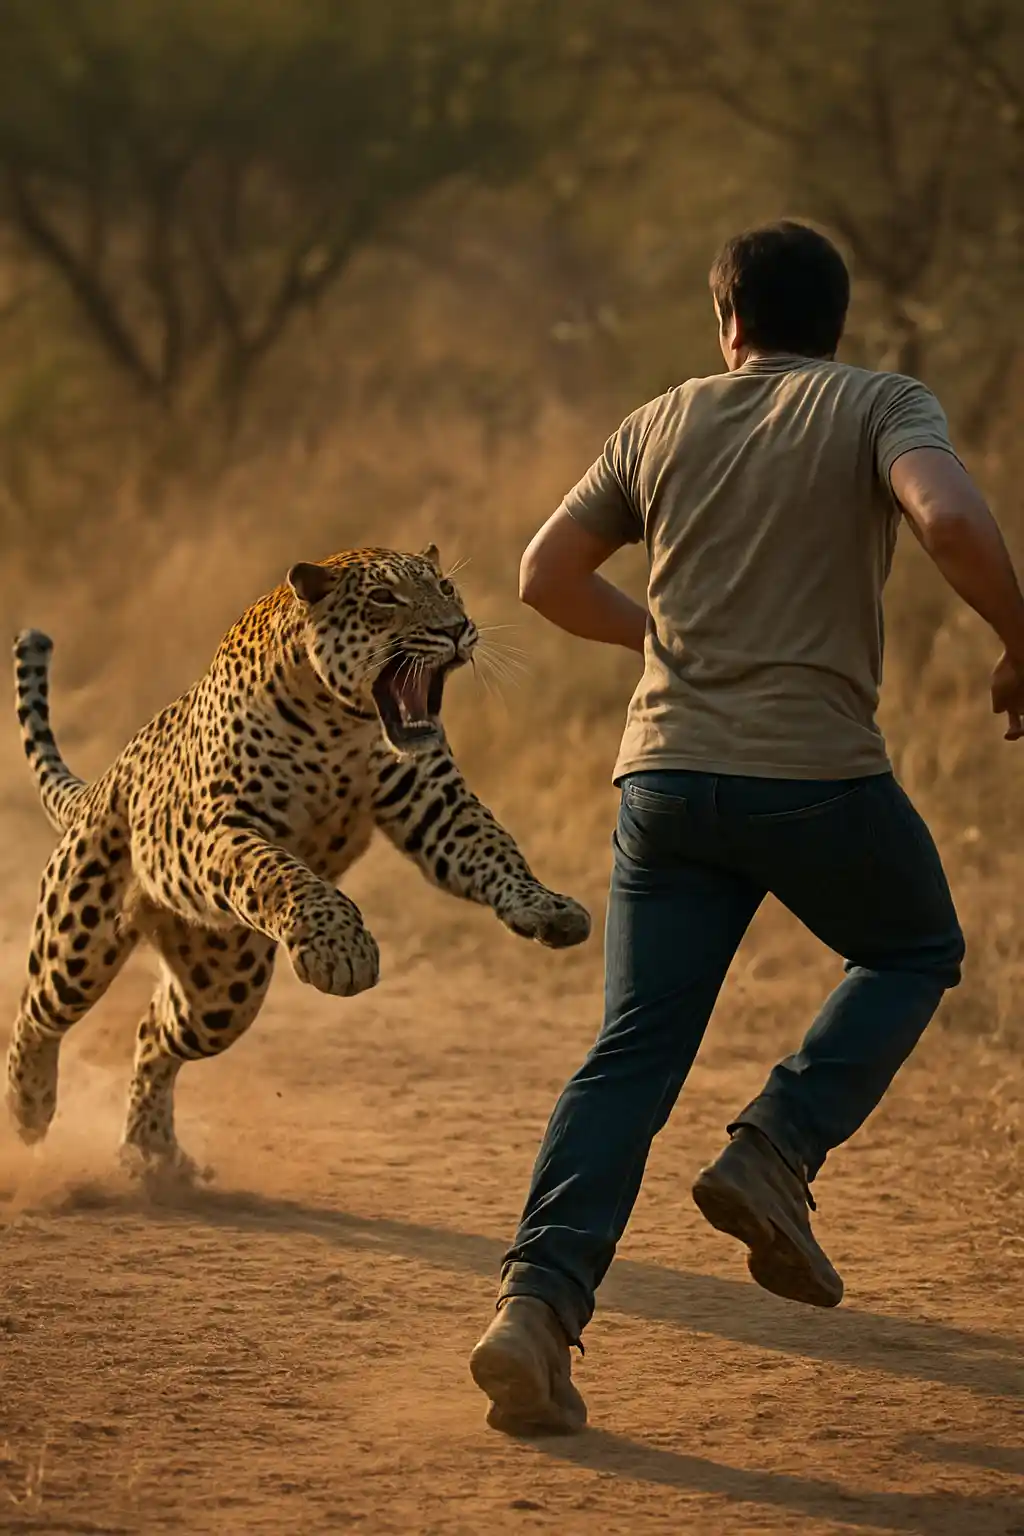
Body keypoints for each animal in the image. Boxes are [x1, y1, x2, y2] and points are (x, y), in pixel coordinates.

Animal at [7, 544, 590, 1178]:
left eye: (445, 588)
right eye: (384, 598)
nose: (455, 629)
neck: (342, 722)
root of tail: (103, 783)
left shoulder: (436, 804)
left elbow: (494, 848)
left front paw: (547, 906)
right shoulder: (221, 825)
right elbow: (279, 871)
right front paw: (342, 949)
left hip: (222, 989)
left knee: (154, 1033)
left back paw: (152, 1148)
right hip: (79, 936)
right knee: (38, 1012)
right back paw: (28, 1109)